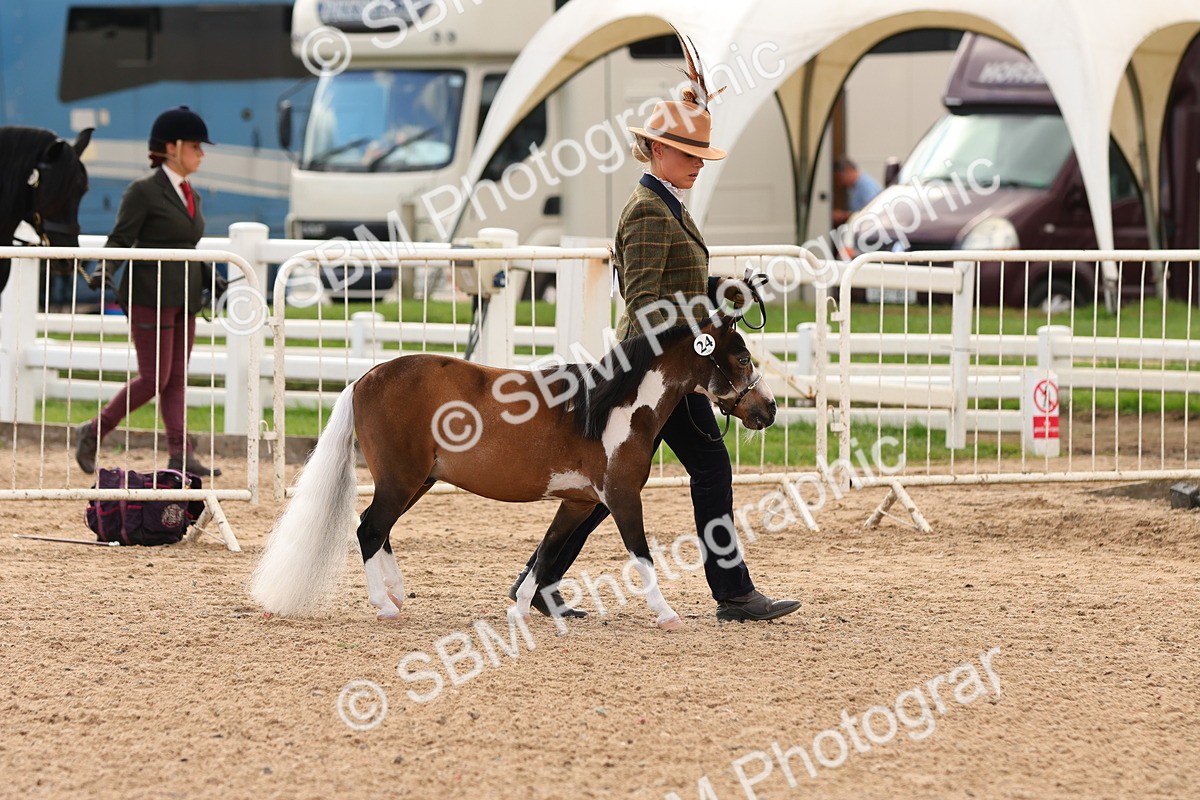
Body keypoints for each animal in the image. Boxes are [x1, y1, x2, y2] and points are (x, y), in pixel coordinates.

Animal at [250, 312, 777, 629]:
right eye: (742, 356)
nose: (768, 409)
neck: (613, 408)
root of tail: (364, 377)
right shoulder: (622, 497)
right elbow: (642, 555)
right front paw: (666, 613)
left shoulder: (578, 502)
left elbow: (546, 553)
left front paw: (523, 609)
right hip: (401, 480)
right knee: (368, 529)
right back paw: (384, 606)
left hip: (417, 481)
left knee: (381, 530)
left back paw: (397, 596)